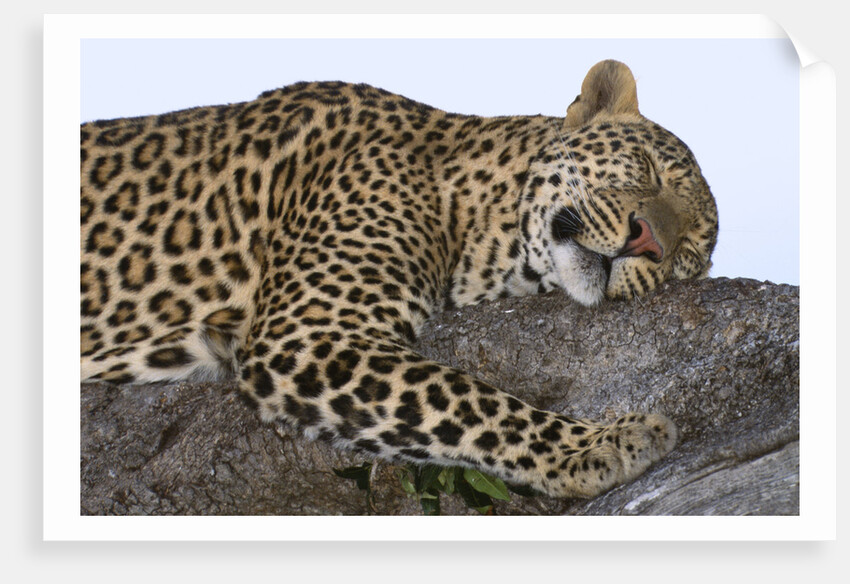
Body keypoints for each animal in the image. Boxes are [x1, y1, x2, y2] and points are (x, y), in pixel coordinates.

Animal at [80, 60, 718, 499]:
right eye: (648, 170)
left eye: (686, 250)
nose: (648, 240)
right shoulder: (308, 334)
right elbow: (466, 400)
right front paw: (603, 444)